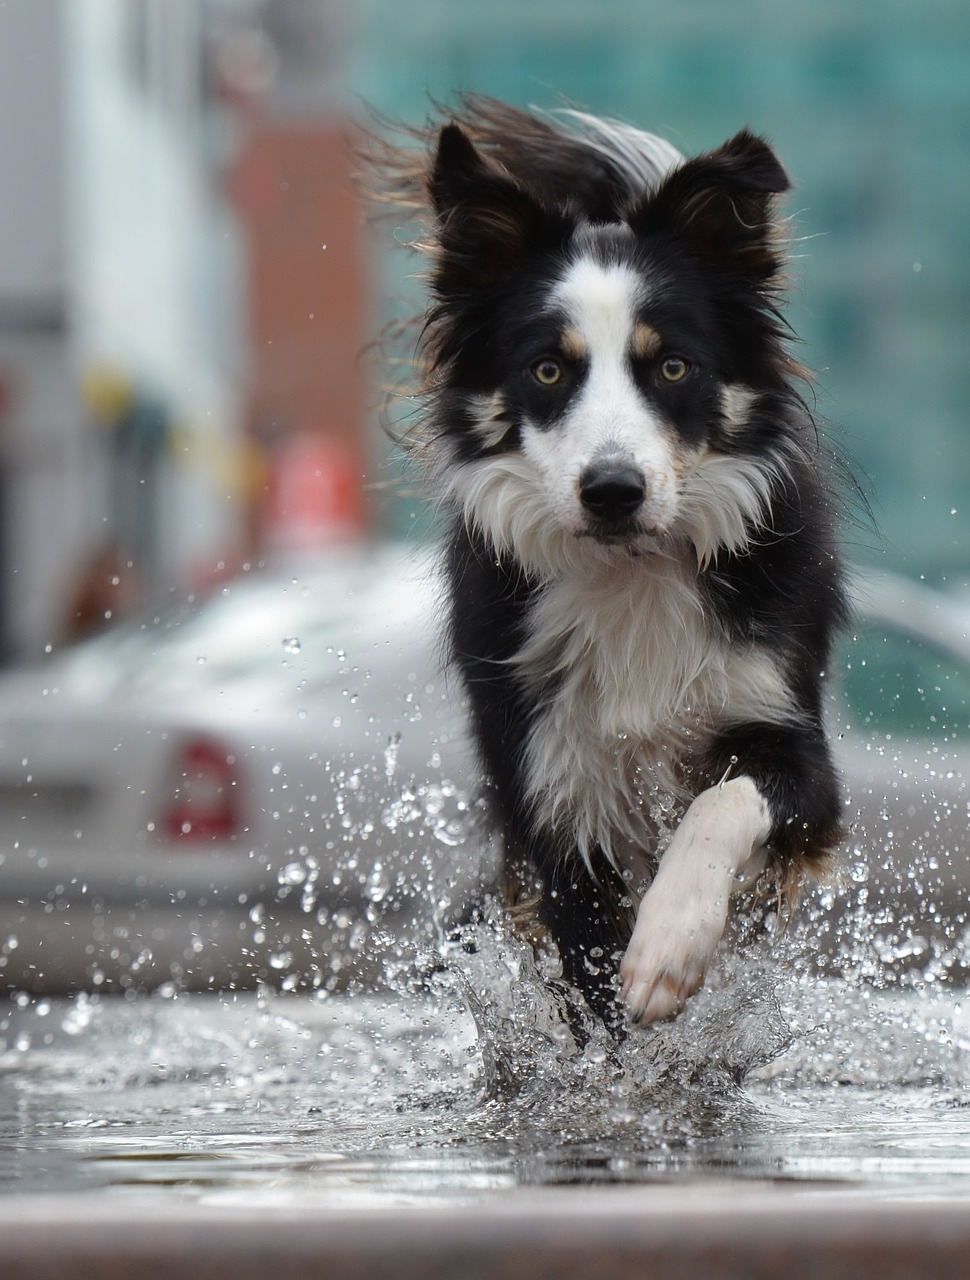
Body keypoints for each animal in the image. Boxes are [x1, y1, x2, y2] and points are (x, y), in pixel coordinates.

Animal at [368, 99, 849, 1029]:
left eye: (673, 366)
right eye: (549, 369)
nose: (613, 491)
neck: (632, 569)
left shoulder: (795, 743)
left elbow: (721, 800)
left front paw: (669, 947)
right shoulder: (555, 788)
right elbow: (591, 982)